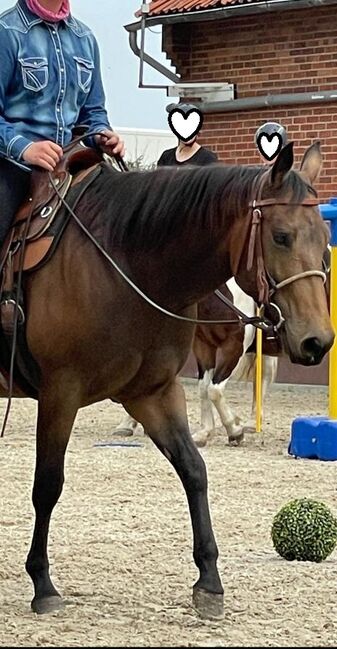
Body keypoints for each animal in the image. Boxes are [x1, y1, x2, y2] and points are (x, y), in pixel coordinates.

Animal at [1, 140, 332, 616]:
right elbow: (48, 484)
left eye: (325, 240)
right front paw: (42, 583)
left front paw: (209, 581)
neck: (124, 263)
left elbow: (193, 469)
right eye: (281, 235)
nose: (317, 340)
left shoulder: (154, 392)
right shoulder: (60, 393)